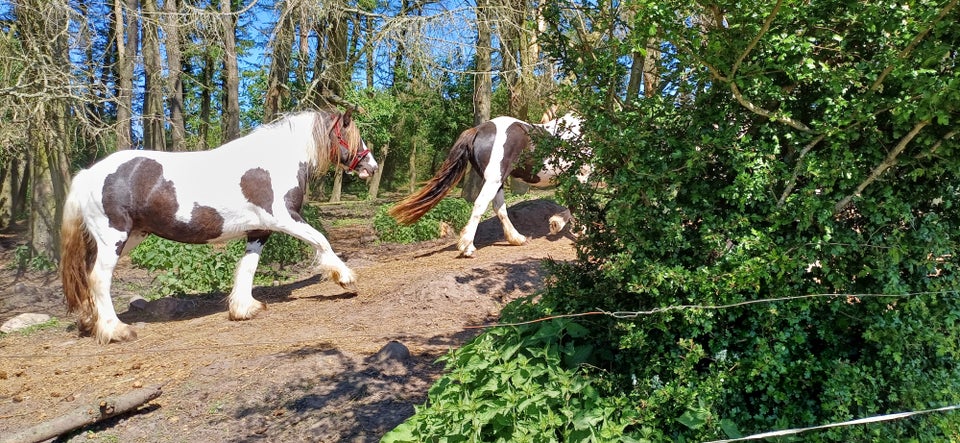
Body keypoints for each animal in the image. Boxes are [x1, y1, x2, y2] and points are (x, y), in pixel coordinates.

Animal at [60, 109, 378, 346]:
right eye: (352, 135)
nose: (371, 167)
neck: (273, 163)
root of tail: (89, 174)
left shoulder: (260, 230)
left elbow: (248, 268)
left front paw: (244, 308)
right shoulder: (284, 219)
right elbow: (321, 240)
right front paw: (345, 278)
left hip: (128, 238)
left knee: (87, 275)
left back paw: (90, 322)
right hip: (114, 237)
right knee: (99, 278)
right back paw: (115, 330)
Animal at [390, 112, 584, 256]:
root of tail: (478, 129)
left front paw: (562, 224)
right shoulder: (582, 174)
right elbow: (579, 202)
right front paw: (570, 227)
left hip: (496, 180)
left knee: (499, 207)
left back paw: (517, 238)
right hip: (494, 179)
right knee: (481, 204)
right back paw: (467, 247)